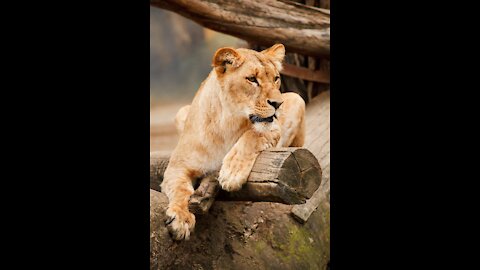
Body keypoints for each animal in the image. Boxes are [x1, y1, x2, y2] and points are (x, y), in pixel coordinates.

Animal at [160, 43, 304, 240]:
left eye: (276, 79)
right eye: (252, 79)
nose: (278, 104)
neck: (228, 123)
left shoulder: (273, 129)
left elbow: (253, 135)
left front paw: (231, 173)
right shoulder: (177, 166)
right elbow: (180, 189)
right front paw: (181, 219)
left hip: (298, 99)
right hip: (181, 112)